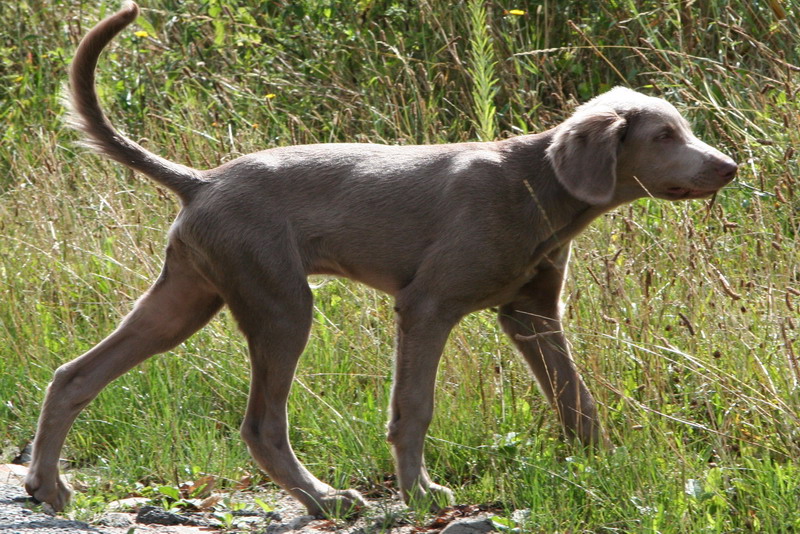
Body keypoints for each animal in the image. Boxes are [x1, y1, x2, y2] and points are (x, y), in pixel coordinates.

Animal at [26, 0, 736, 520]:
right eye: (664, 136)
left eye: (684, 129)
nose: (729, 166)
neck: (535, 185)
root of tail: (202, 181)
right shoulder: (427, 306)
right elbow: (413, 408)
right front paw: (420, 493)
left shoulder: (531, 312)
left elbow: (575, 400)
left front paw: (609, 467)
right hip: (280, 302)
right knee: (260, 424)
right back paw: (325, 500)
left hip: (186, 298)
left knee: (74, 375)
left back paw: (46, 485)